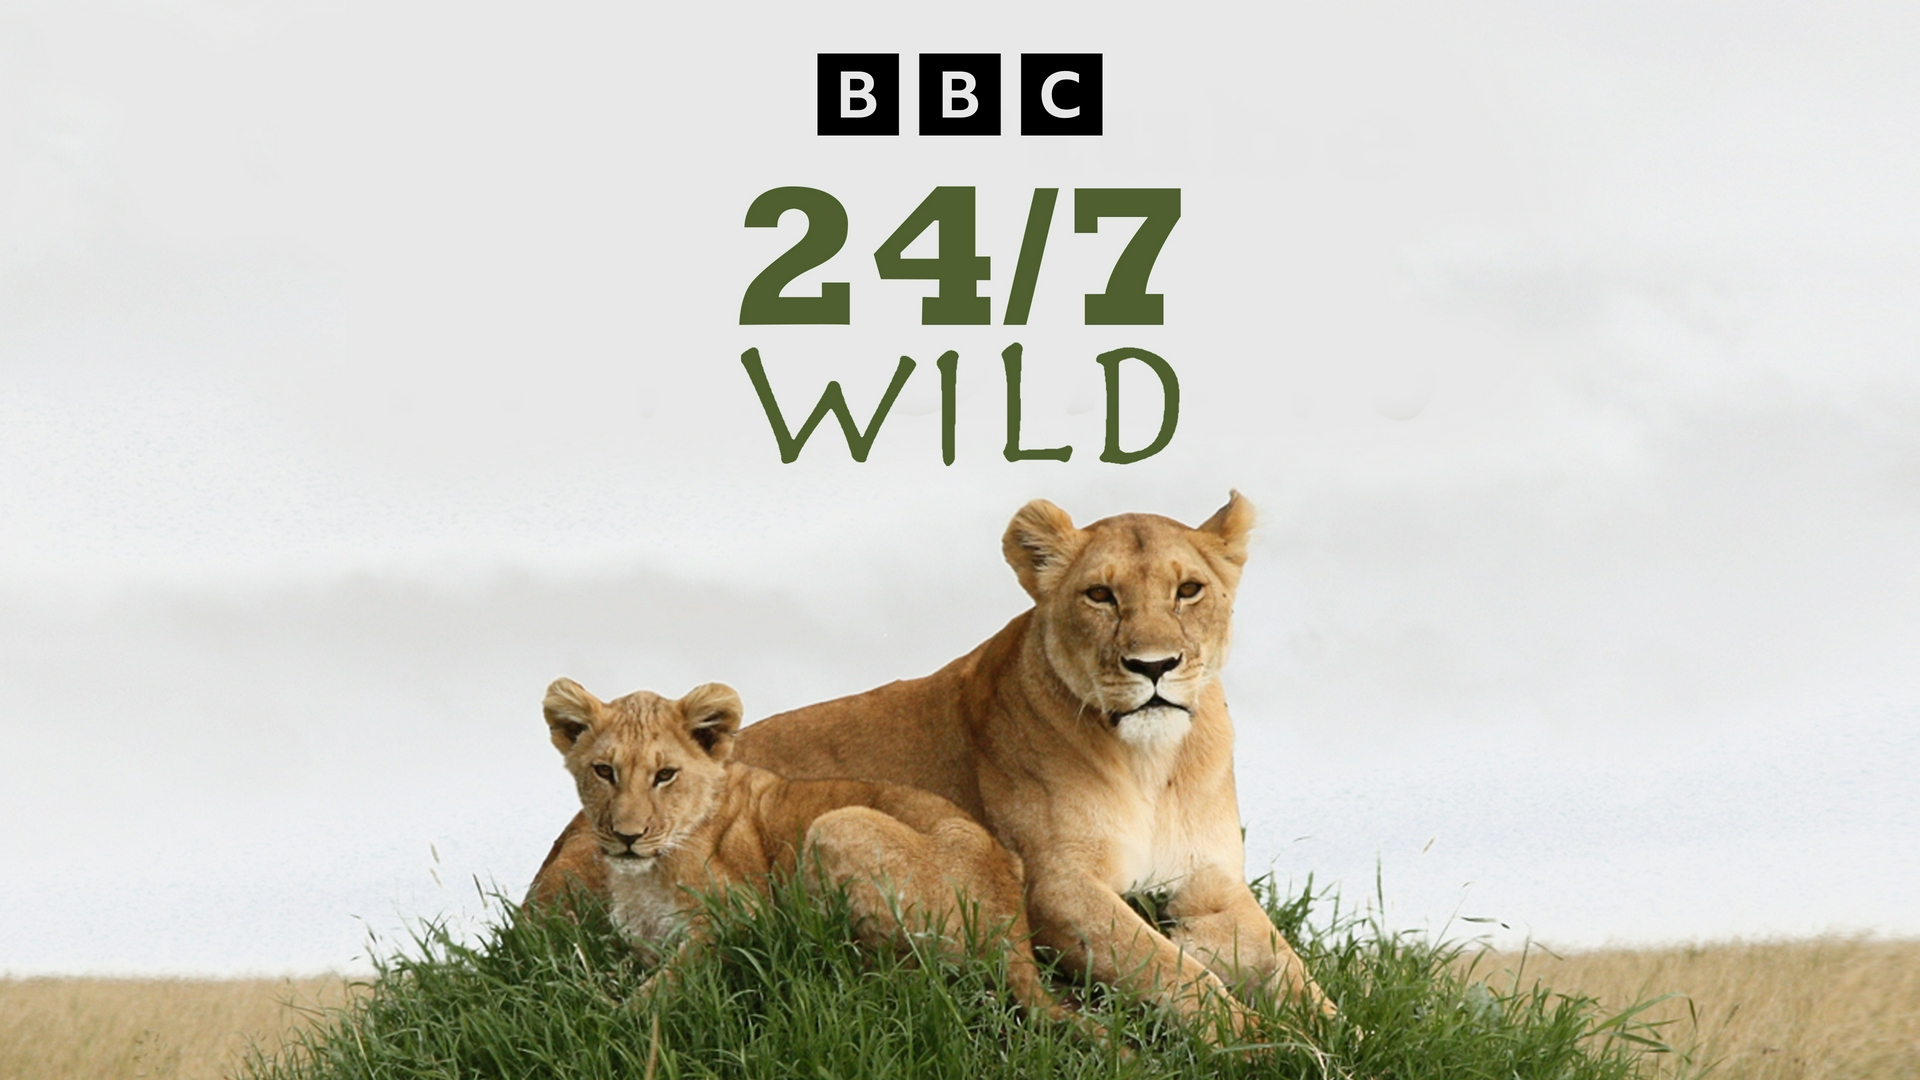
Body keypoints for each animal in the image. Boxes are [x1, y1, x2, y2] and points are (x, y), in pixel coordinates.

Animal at [539, 676, 1072, 1024]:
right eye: (604, 771)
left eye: (665, 774)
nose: (627, 835)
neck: (643, 874)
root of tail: (1015, 929)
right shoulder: (638, 943)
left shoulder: (740, 917)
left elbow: (667, 980)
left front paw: (609, 1017)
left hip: (835, 823)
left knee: (911, 973)